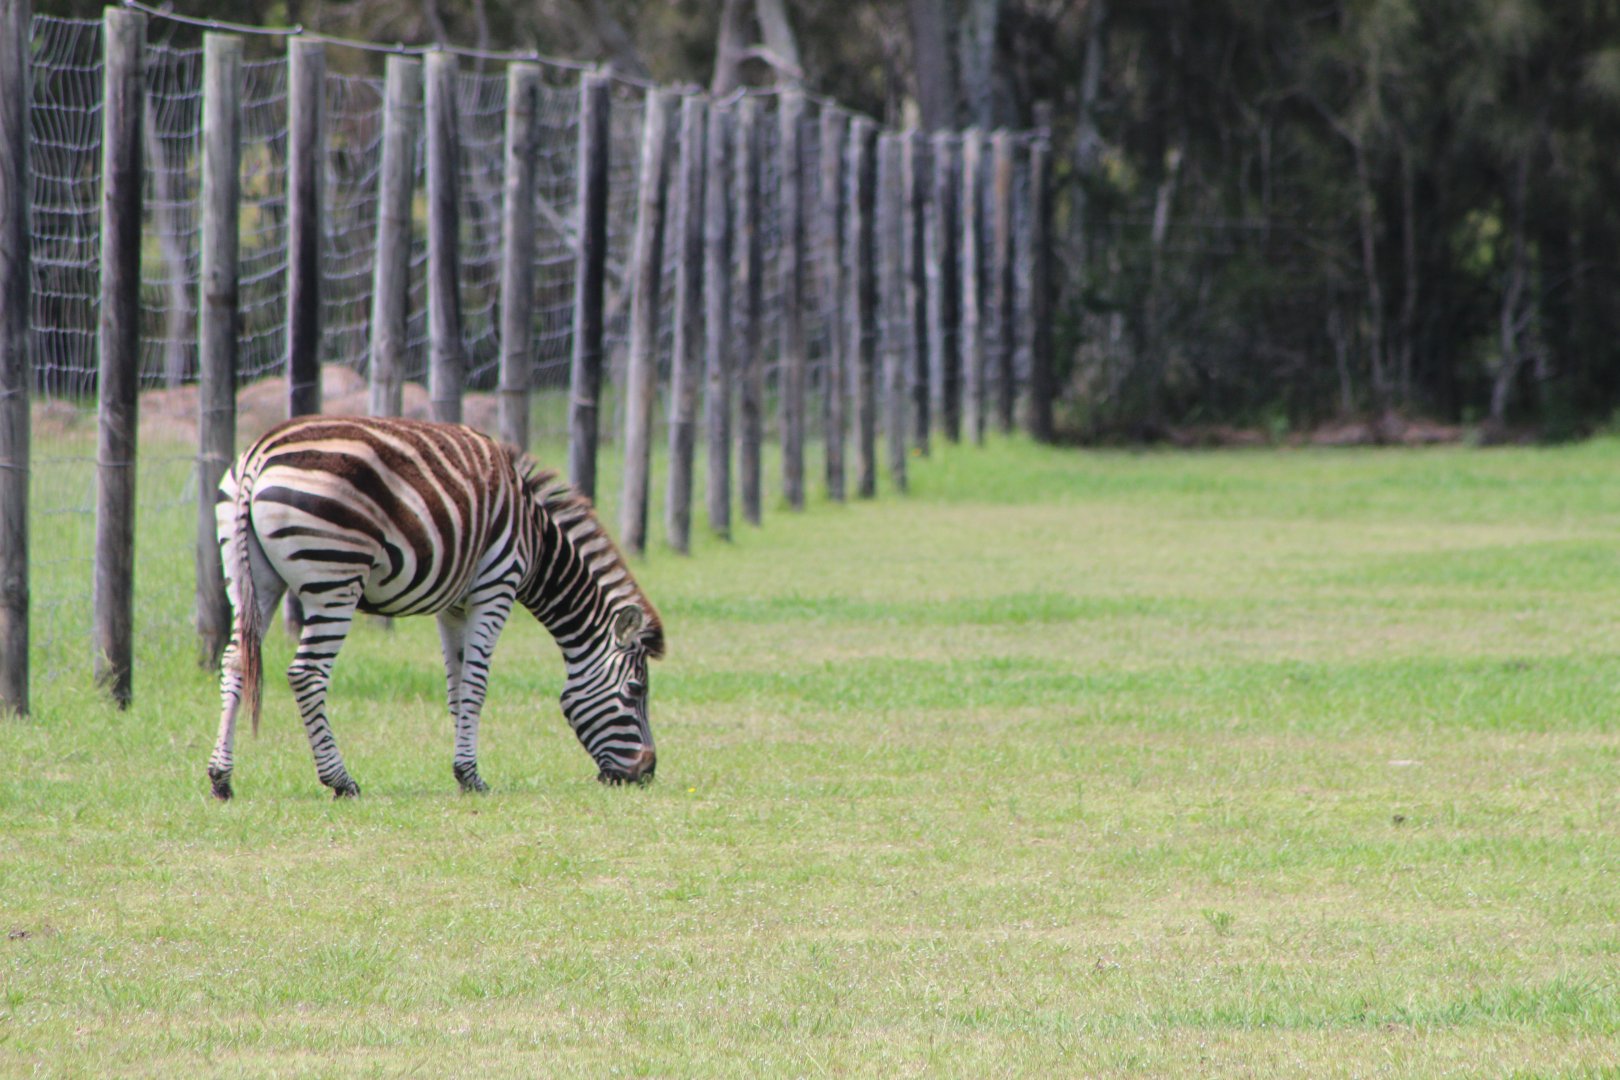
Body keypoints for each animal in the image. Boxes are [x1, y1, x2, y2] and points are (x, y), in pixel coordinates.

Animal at [206, 415, 664, 799]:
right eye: (636, 690)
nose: (647, 773)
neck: (536, 539)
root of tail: (259, 454)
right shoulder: (495, 587)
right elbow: (477, 686)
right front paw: (472, 777)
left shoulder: (454, 607)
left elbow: (457, 686)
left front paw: (461, 772)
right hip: (334, 577)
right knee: (307, 674)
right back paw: (340, 780)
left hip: (252, 577)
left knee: (236, 660)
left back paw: (221, 779)